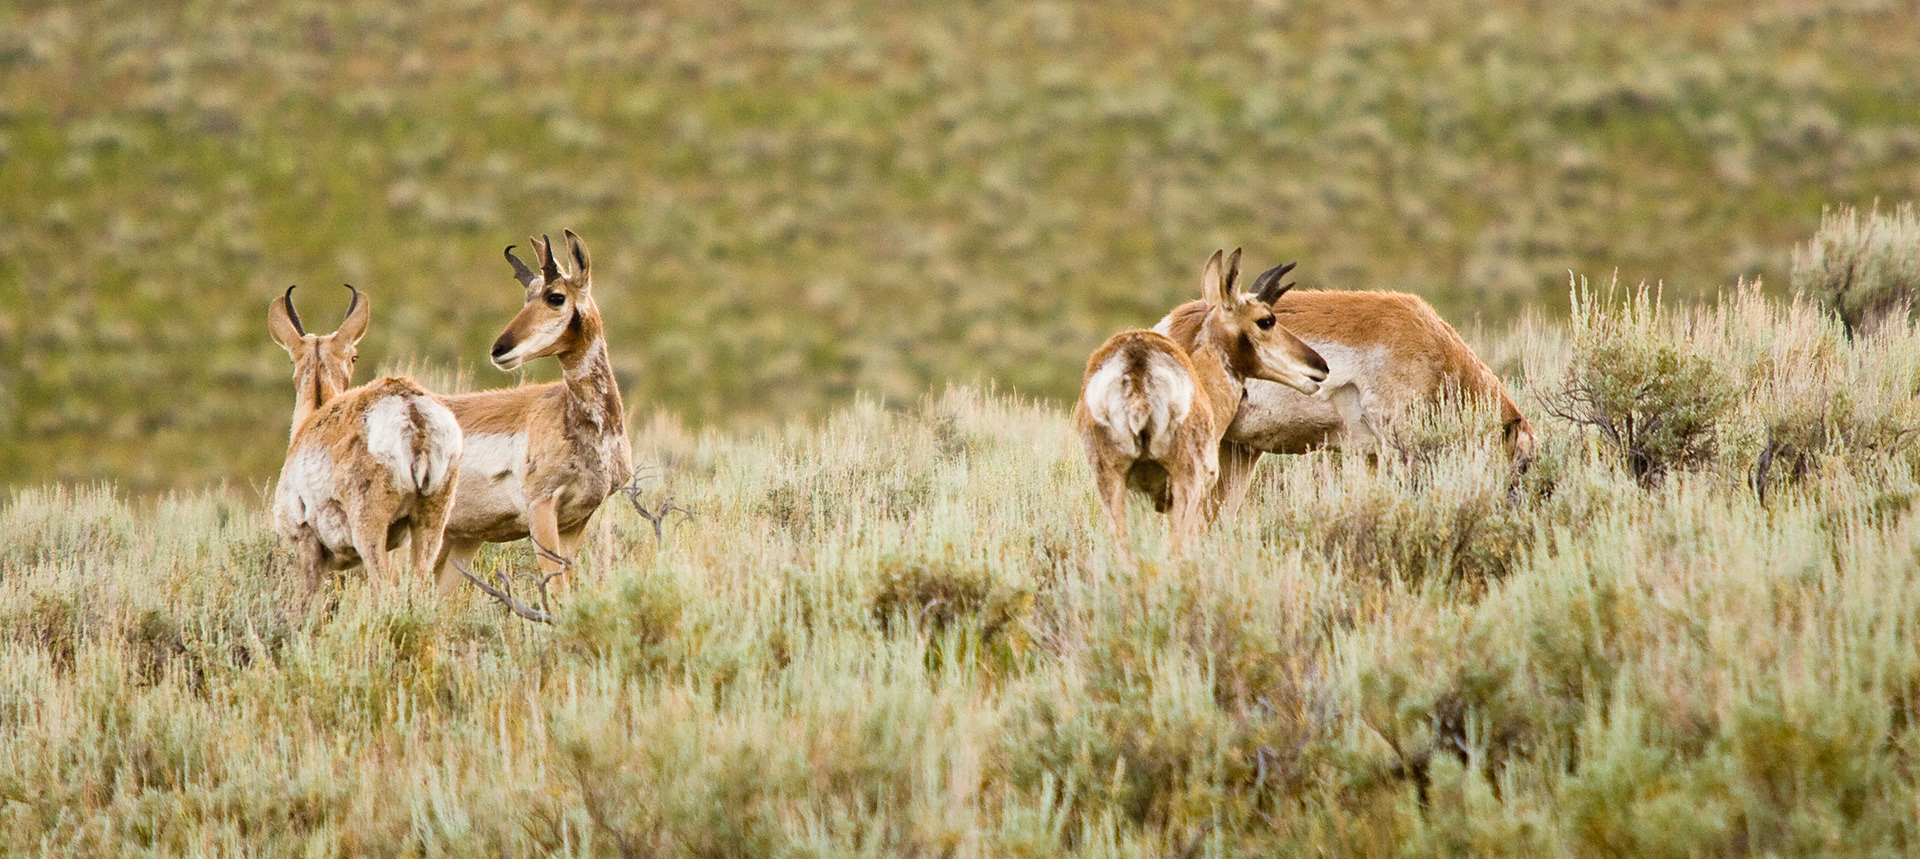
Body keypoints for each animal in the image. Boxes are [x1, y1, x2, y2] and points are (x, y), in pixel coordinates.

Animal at [268, 285, 464, 591]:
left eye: (354, 356)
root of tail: (412, 412)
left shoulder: (305, 543)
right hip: (431, 523)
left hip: (369, 533)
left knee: (385, 590)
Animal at [429, 230, 634, 594]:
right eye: (526, 298)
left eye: (555, 297)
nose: (499, 350)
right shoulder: (541, 510)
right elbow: (557, 589)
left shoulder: (576, 521)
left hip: (459, 542)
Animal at [1075, 249, 1329, 553]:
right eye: (1266, 320)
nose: (1320, 367)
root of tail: (1137, 359)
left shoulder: (1140, 497)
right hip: (1186, 484)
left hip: (1111, 482)